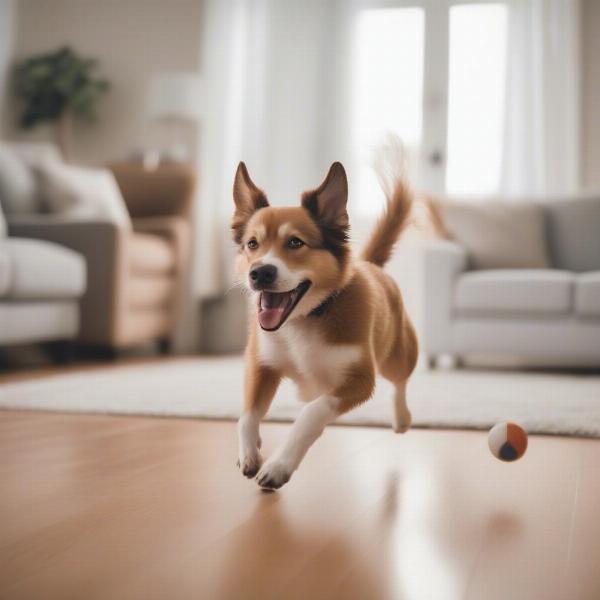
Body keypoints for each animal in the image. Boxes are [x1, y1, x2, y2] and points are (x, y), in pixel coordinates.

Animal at [231, 157, 418, 490]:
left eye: (295, 242)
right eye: (252, 243)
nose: (260, 273)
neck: (304, 320)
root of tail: (370, 264)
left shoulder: (359, 380)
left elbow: (312, 412)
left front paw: (279, 465)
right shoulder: (260, 364)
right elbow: (247, 415)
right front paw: (249, 453)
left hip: (398, 354)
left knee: (399, 380)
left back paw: (401, 416)